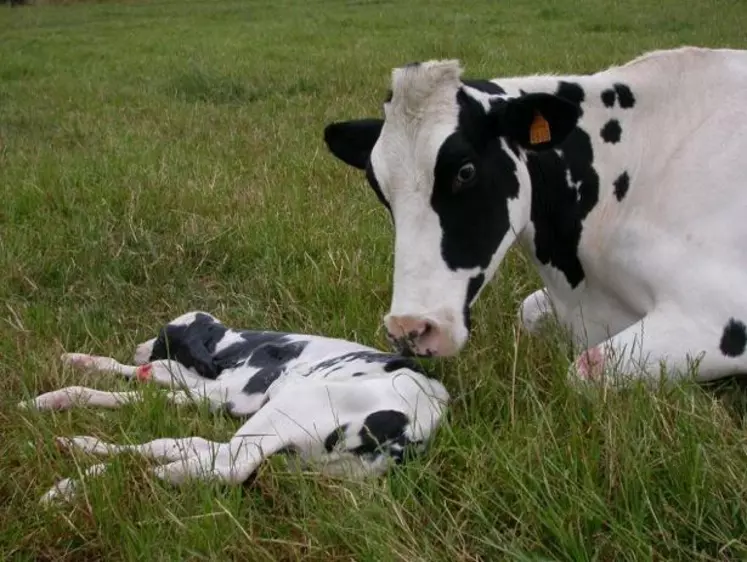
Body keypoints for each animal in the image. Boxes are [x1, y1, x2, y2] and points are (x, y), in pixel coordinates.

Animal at [20, 310, 448, 504]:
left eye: (160, 337)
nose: (139, 347)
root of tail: (416, 428)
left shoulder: (229, 394)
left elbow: (143, 386)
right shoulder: (212, 392)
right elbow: (134, 382)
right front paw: (72, 372)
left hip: (291, 405)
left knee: (227, 463)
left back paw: (89, 481)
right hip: (291, 448)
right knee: (193, 448)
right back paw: (82, 450)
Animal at [324, 46, 747, 382]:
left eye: (465, 171)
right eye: (377, 184)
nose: (410, 329)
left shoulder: (717, 316)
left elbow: (584, 371)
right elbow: (527, 311)